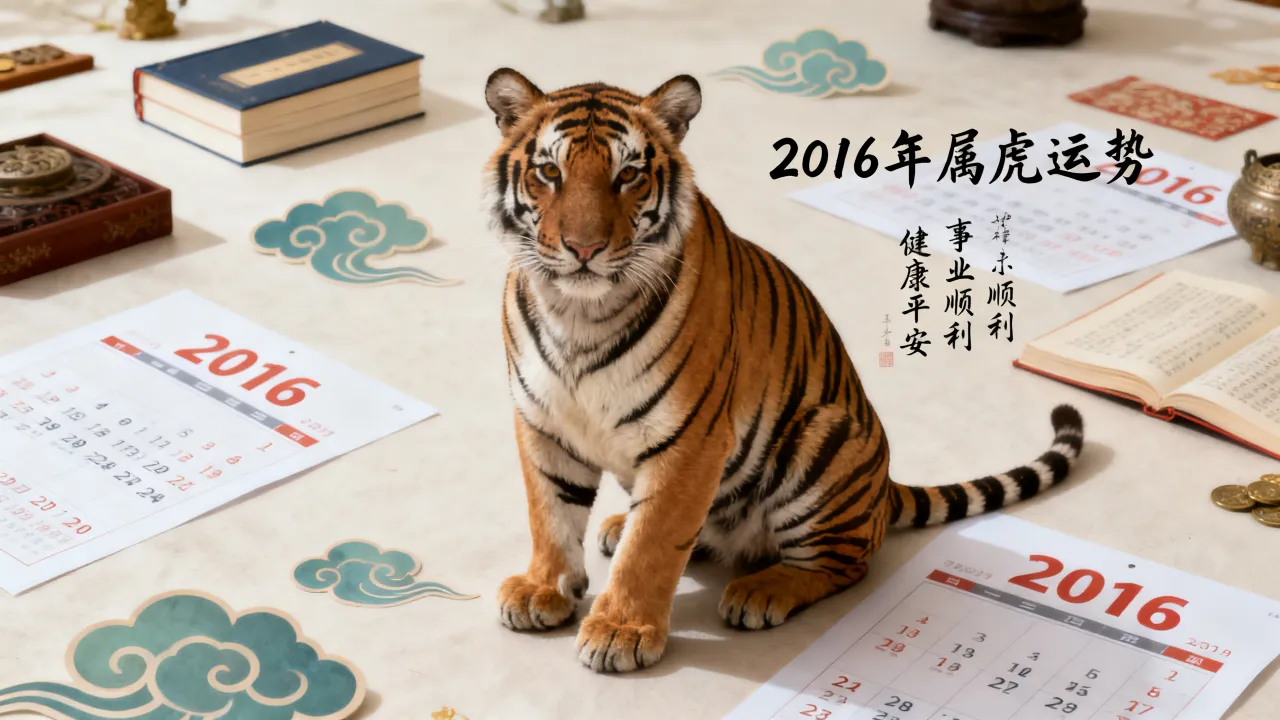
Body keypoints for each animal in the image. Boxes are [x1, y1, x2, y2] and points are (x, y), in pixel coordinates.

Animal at [482, 68, 1086, 673]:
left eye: (627, 174)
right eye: (550, 172)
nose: (583, 248)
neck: (577, 314)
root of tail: (884, 489)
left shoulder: (690, 440)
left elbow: (651, 545)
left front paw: (619, 630)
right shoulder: (541, 421)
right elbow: (549, 514)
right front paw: (542, 589)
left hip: (821, 437)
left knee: (844, 562)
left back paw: (760, 591)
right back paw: (618, 525)